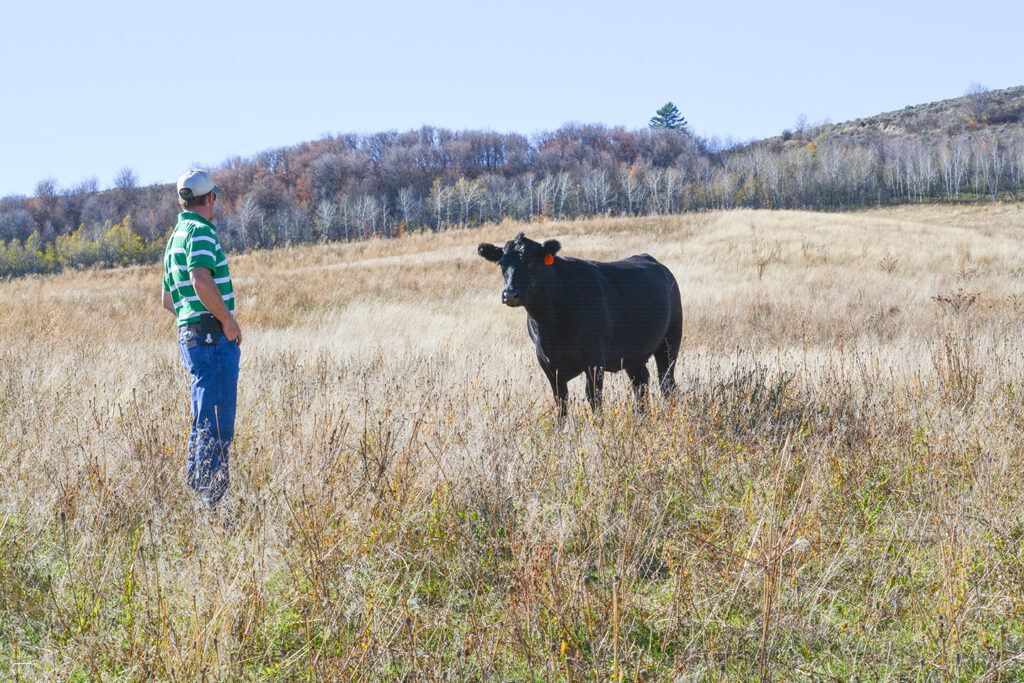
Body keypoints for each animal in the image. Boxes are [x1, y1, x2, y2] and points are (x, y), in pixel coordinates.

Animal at [477, 233, 684, 417]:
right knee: (640, 383)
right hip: (634, 354)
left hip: (670, 340)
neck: (550, 325)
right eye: (502, 264)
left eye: (530, 262)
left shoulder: (595, 359)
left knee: (666, 382)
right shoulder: (546, 362)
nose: (510, 294)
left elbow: (593, 398)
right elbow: (560, 402)